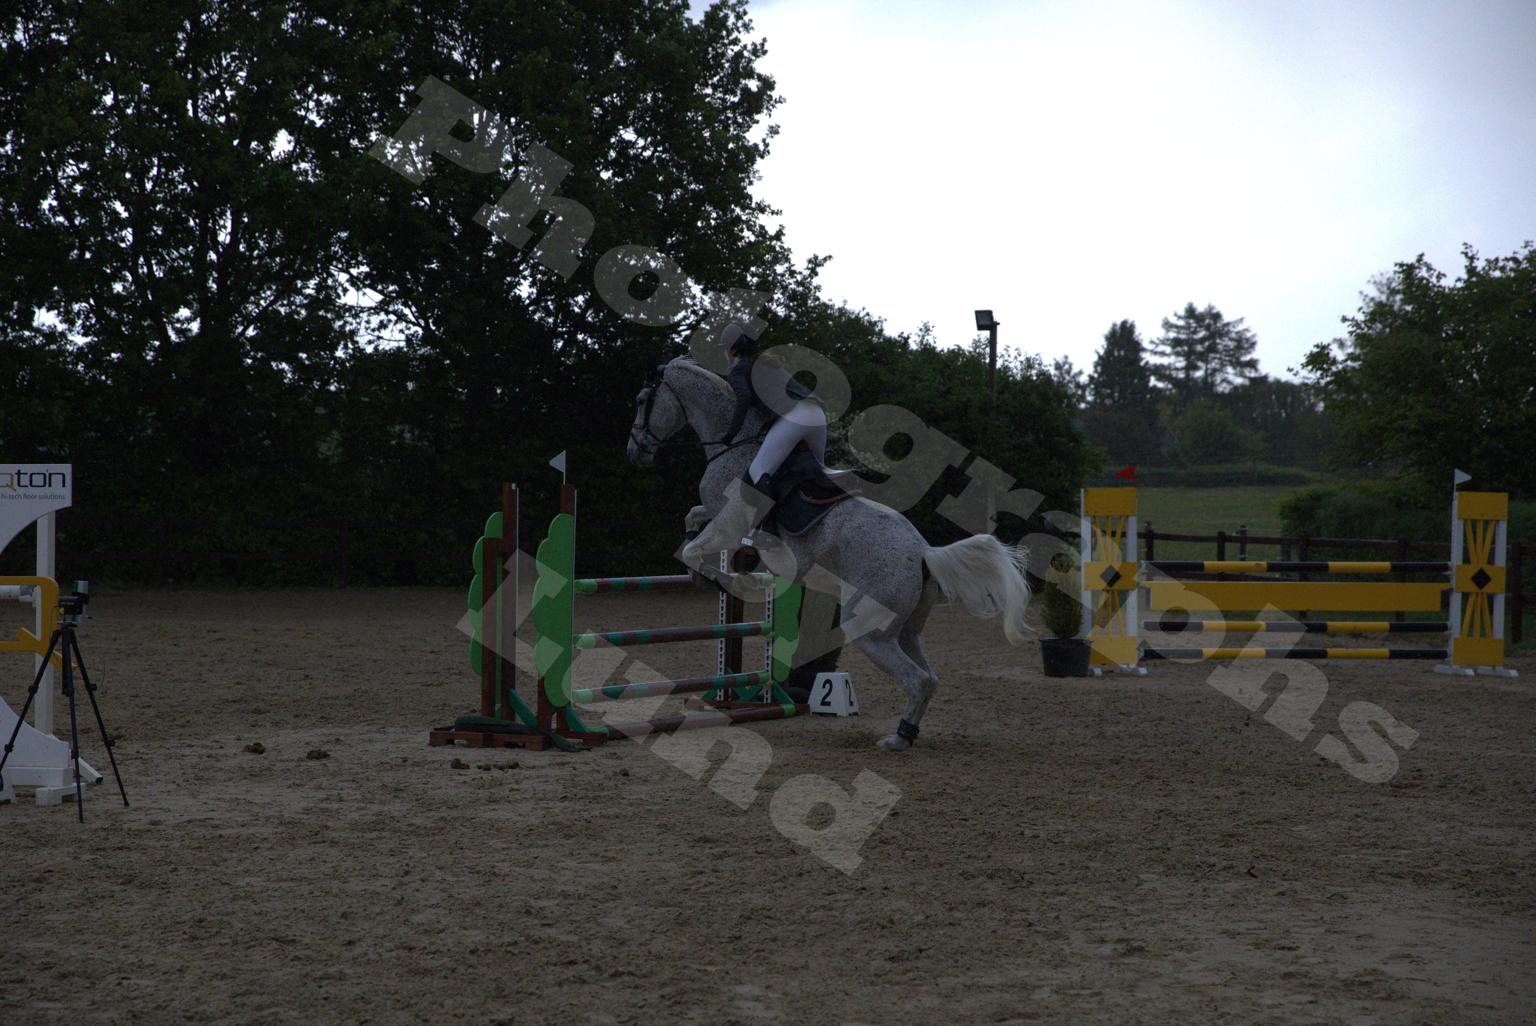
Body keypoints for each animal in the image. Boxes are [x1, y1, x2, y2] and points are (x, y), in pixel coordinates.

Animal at [626, 356, 1031, 750]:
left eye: (642, 401)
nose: (634, 452)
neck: (734, 444)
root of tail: (923, 552)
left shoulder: (729, 521)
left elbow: (694, 551)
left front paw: (729, 580)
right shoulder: (715, 514)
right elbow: (692, 520)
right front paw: (702, 566)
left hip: (870, 631)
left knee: (916, 679)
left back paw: (897, 739)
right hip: (905, 630)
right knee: (929, 677)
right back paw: (909, 732)